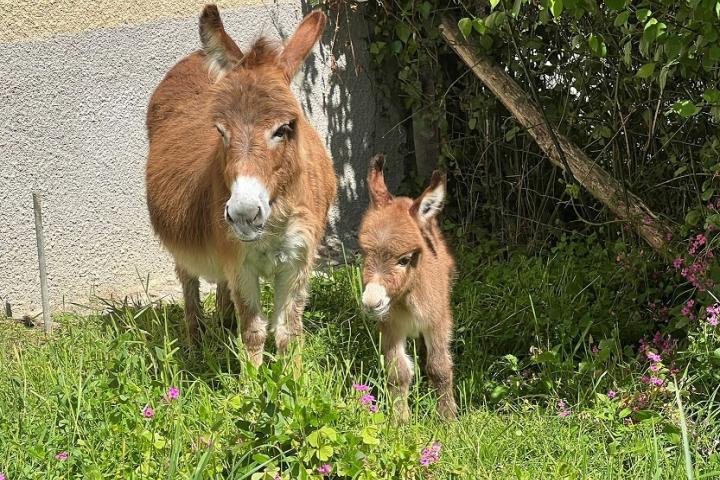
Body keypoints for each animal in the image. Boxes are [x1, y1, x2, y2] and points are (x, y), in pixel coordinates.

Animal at [358, 155, 456, 420]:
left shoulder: (437, 321)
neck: (408, 298)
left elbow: (439, 368)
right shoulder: (391, 326)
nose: (371, 303)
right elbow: (398, 373)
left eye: (404, 260)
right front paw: (400, 420)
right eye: (364, 253)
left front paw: (448, 419)